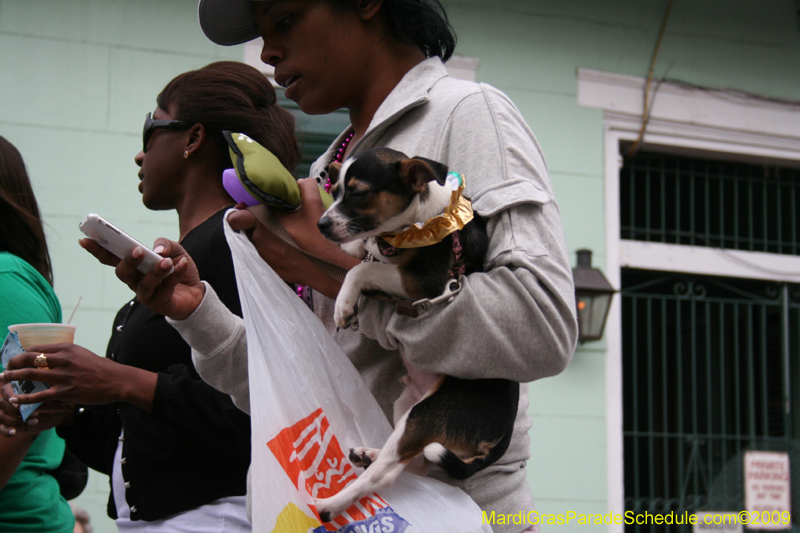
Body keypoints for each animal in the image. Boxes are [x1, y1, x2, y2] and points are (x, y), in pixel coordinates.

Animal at [312, 148, 520, 520]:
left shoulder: (424, 281)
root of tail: (502, 434)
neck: (415, 223)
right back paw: (369, 454)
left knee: (386, 475)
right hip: (406, 404)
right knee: (414, 465)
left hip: (424, 415)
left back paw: (332, 505)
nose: (321, 225)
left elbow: (362, 269)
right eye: (334, 192)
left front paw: (345, 303)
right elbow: (363, 252)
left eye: (359, 194)